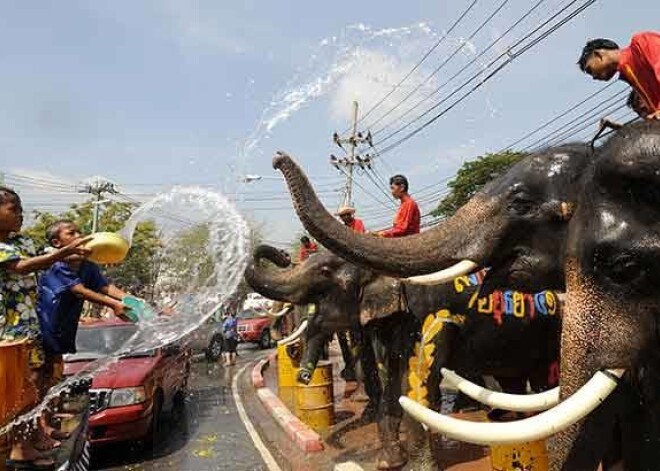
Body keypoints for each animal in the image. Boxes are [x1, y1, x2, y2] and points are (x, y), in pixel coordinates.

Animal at [245, 245, 560, 470]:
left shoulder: (430, 317)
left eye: (324, 272)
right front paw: (388, 463)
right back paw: (505, 418)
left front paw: (416, 467)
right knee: (513, 379)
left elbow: (413, 384)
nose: (304, 375)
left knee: (544, 379)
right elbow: (394, 384)